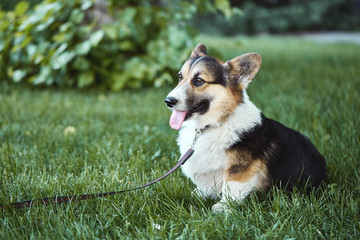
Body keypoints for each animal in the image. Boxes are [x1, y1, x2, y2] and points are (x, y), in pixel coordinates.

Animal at [165, 43, 326, 212]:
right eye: (180, 77)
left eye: (199, 80)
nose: (168, 101)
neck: (215, 124)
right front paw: (199, 194)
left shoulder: (240, 169)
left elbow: (231, 186)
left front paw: (223, 206)